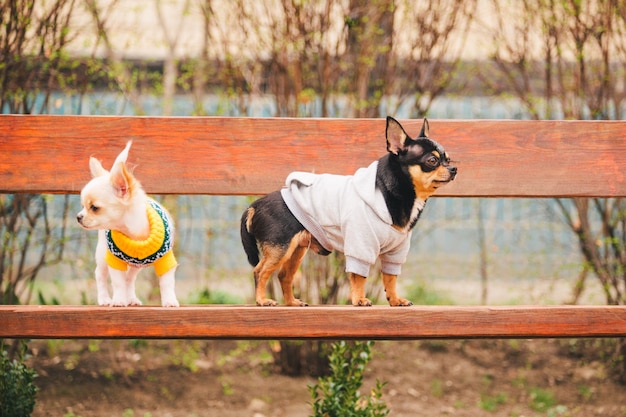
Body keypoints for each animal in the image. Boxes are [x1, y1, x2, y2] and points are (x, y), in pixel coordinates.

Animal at [76, 141, 178, 308]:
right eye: (83, 206)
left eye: (94, 208)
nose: (78, 216)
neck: (134, 233)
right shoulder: (114, 260)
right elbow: (118, 283)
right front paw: (118, 300)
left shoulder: (166, 261)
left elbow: (167, 283)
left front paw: (169, 301)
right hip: (102, 254)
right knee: (100, 275)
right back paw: (104, 299)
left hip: (137, 265)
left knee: (129, 278)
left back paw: (131, 299)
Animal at [239, 117, 454, 306]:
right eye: (432, 161)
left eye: (448, 159)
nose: (454, 169)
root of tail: (254, 205)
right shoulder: (361, 246)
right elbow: (359, 276)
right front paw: (359, 300)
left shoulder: (395, 252)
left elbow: (390, 278)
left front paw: (395, 300)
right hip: (280, 249)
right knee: (260, 272)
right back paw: (262, 300)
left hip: (296, 250)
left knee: (284, 275)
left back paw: (292, 302)